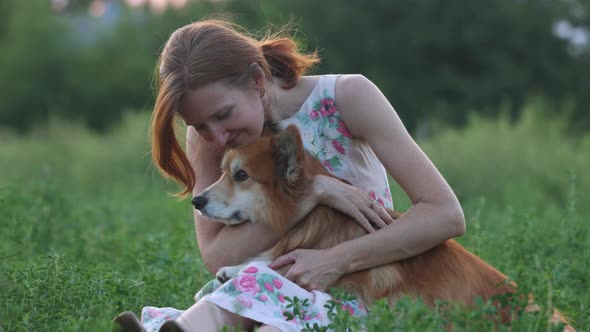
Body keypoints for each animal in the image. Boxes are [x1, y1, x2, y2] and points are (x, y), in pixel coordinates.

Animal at [194, 125, 580, 332]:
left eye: (241, 175)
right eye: (223, 171)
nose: (196, 200)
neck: (314, 218)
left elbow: (276, 265)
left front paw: (237, 270)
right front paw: (229, 271)